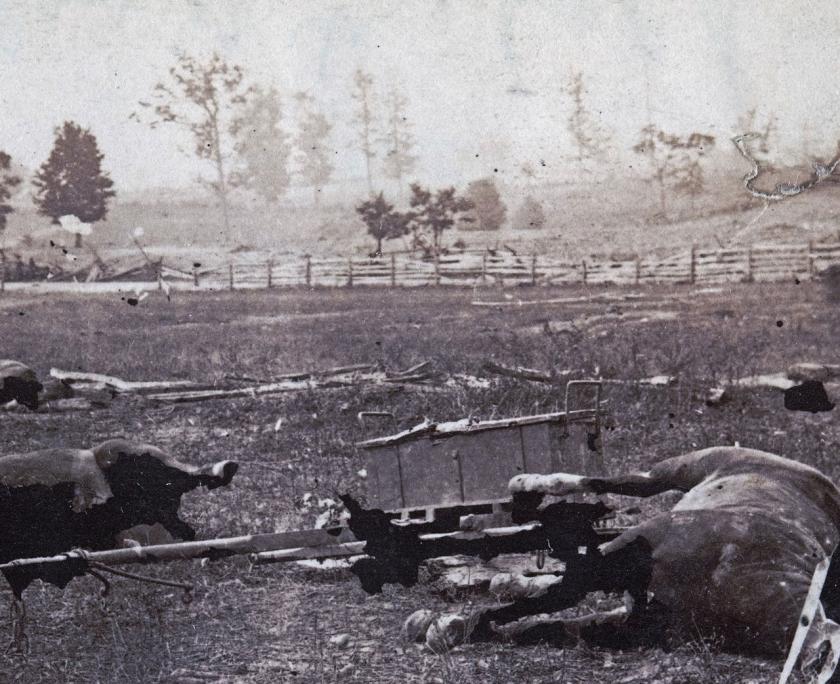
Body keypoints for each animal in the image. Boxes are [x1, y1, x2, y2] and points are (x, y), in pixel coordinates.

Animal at [450, 448, 840, 680]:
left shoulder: (627, 624)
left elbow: (546, 623)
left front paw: (465, 627)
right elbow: (547, 601)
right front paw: (457, 625)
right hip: (686, 467)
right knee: (614, 483)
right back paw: (522, 487)